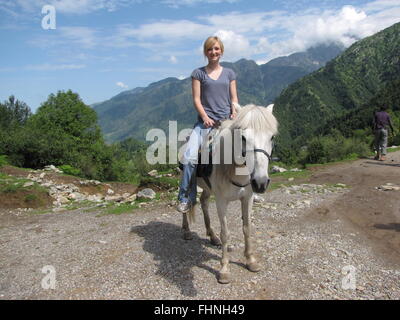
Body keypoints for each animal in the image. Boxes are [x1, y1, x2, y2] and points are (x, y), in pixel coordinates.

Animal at [181, 102, 278, 282]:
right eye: (243, 138)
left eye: (272, 137)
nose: (261, 183)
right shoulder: (221, 201)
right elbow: (225, 233)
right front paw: (224, 269)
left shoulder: (247, 198)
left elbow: (247, 228)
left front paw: (250, 260)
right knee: (186, 202)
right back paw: (187, 231)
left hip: (207, 188)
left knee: (204, 202)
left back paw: (212, 236)